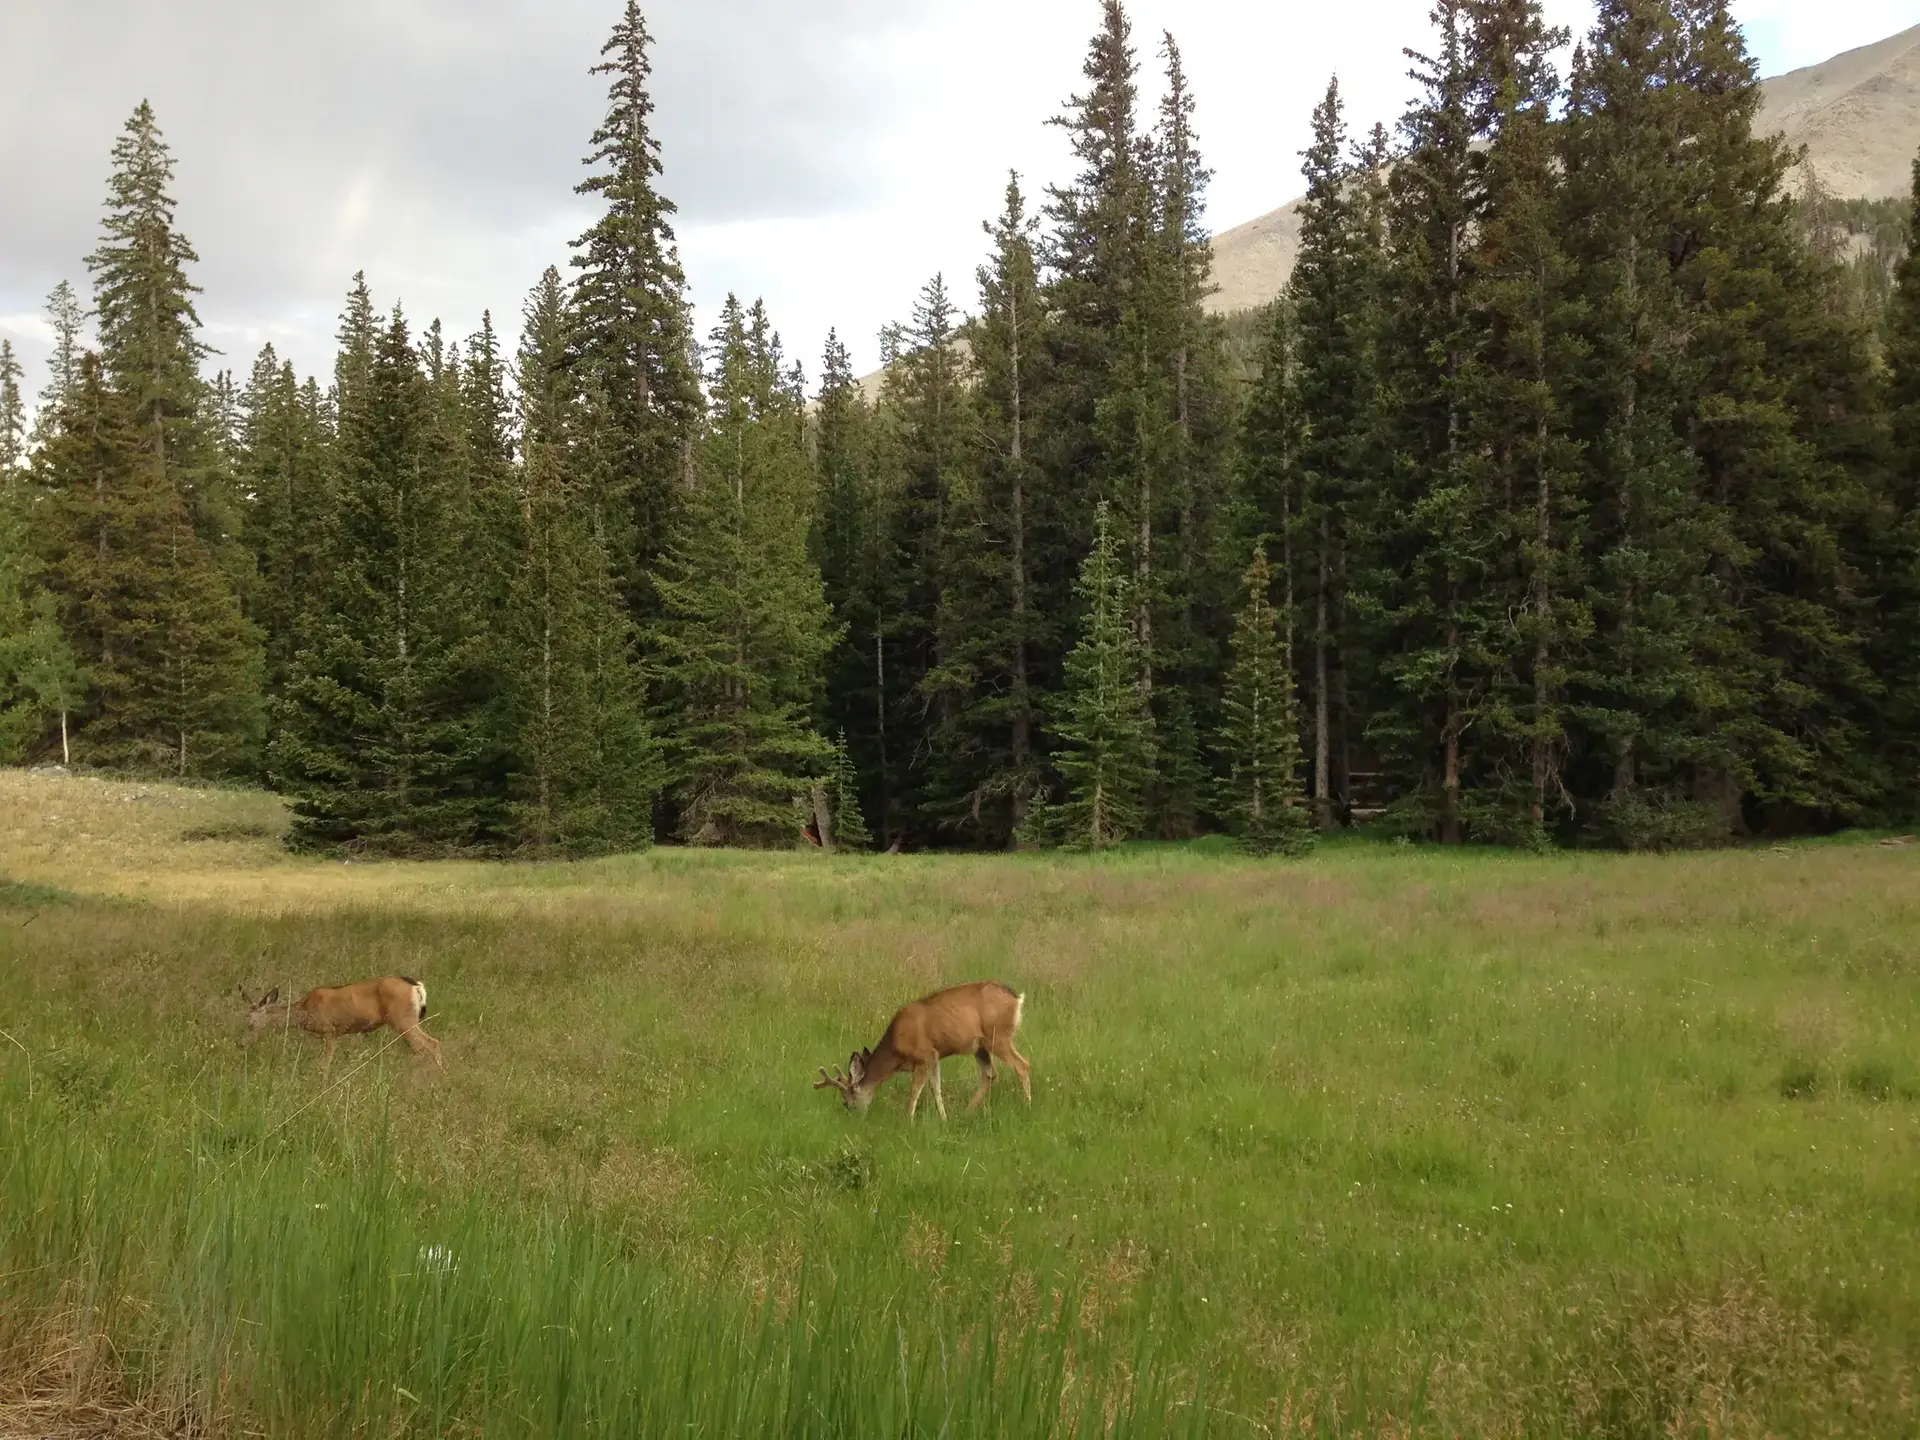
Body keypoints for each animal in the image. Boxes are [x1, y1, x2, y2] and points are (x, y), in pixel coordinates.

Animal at [242, 976, 442, 1075]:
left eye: (250, 1025)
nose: (242, 1044)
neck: (305, 1011)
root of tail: (416, 986)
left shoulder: (329, 1030)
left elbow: (325, 1063)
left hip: (403, 1019)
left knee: (430, 1044)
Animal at [814, 981, 1031, 1120]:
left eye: (846, 1101)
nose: (854, 1117)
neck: (896, 1049)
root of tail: (1017, 999)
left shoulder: (924, 1055)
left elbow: (915, 1091)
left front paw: (908, 1120)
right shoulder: (934, 1057)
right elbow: (936, 1088)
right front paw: (944, 1119)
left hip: (998, 1036)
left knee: (1022, 1065)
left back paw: (1027, 1105)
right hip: (980, 1046)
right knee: (989, 1074)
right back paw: (966, 1112)